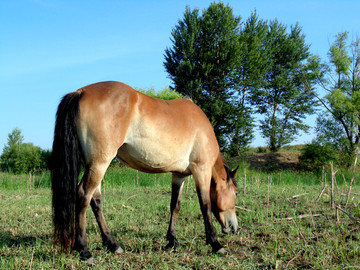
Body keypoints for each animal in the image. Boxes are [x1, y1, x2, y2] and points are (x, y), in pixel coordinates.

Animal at [50, 80, 236, 264]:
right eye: (236, 193)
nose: (234, 227)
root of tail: (80, 92)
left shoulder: (179, 175)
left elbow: (175, 205)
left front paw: (173, 241)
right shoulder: (201, 170)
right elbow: (205, 205)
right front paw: (216, 244)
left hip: (93, 166)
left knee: (96, 201)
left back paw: (113, 244)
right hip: (99, 164)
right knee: (83, 196)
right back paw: (84, 250)